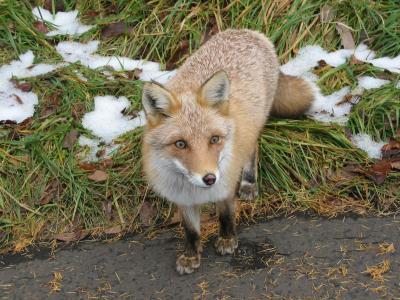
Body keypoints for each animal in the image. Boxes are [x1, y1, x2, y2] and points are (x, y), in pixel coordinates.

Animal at [142, 28, 314, 274]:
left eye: (214, 139)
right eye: (181, 144)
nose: (209, 178)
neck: (196, 190)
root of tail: (249, 32)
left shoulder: (225, 186)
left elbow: (225, 216)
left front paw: (227, 240)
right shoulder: (183, 199)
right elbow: (191, 231)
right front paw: (191, 255)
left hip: (256, 125)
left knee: (253, 149)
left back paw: (249, 183)